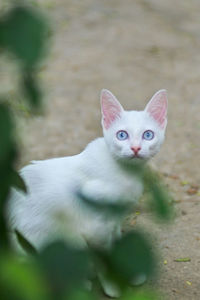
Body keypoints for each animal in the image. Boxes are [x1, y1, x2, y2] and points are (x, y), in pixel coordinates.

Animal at [6, 88, 167, 296]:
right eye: (122, 135)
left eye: (148, 135)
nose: (136, 148)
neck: (126, 172)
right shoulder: (96, 229)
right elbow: (104, 259)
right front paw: (113, 286)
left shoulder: (115, 221)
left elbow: (117, 244)